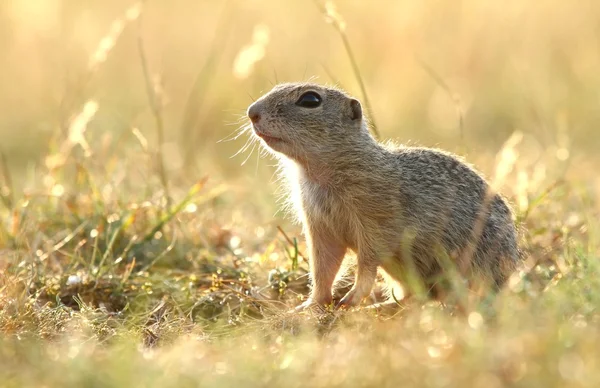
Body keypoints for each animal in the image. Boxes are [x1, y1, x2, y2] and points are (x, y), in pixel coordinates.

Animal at [246, 82, 516, 310]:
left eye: (310, 100)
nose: (252, 112)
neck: (321, 175)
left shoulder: (376, 218)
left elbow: (368, 261)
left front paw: (352, 297)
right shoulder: (320, 227)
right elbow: (323, 268)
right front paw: (309, 306)